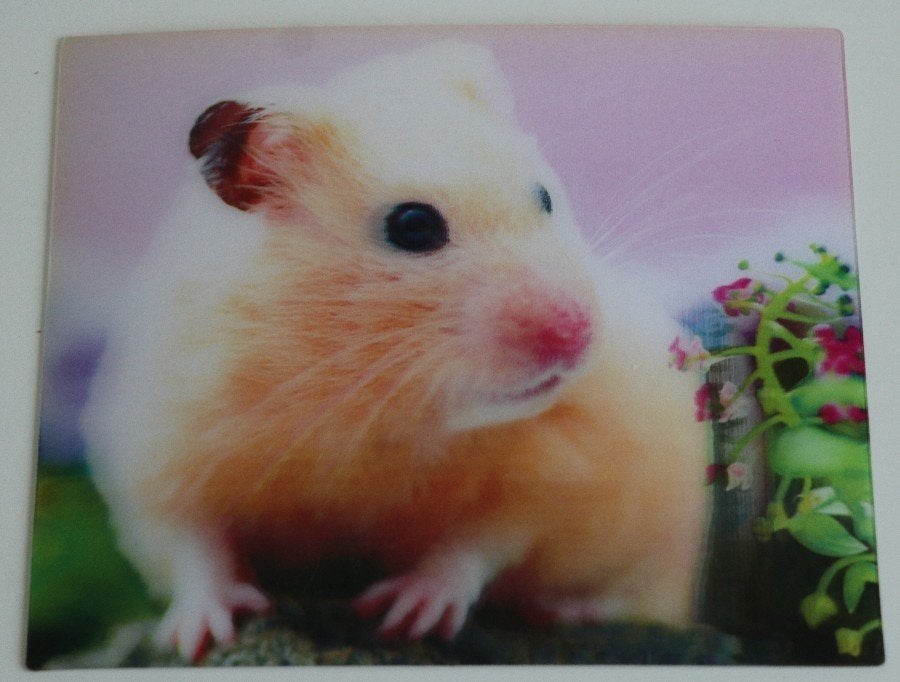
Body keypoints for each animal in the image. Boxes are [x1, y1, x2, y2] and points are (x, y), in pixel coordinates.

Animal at [80, 41, 707, 660]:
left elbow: (479, 542)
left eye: (544, 197)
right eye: (413, 226)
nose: (576, 333)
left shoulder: (555, 470)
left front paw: (404, 615)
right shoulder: (163, 454)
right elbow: (195, 547)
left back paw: (569, 610)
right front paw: (201, 636)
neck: (372, 398)